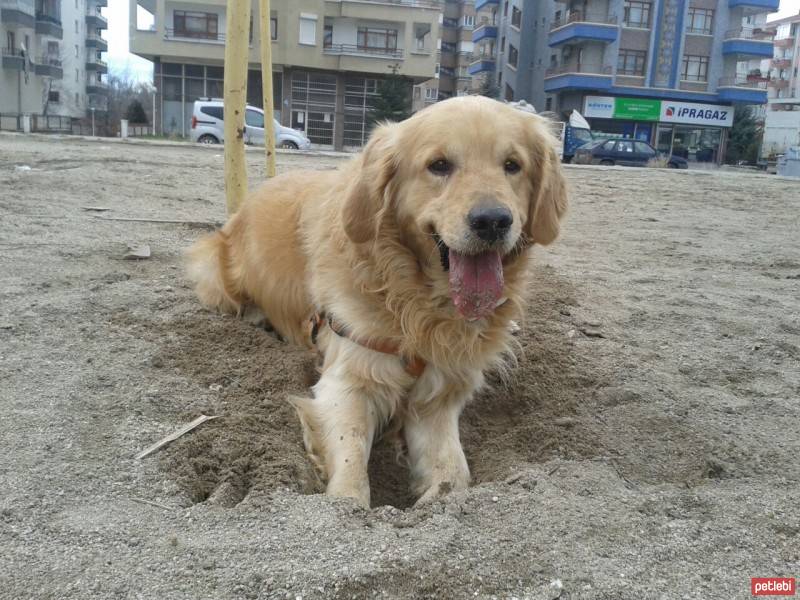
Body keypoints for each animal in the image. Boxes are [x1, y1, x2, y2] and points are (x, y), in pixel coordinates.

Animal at [187, 96, 564, 508]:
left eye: (512, 165)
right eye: (439, 165)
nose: (493, 221)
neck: (418, 302)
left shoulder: (441, 390)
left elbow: (453, 475)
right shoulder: (348, 379)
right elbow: (350, 465)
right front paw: (348, 501)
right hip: (213, 268)